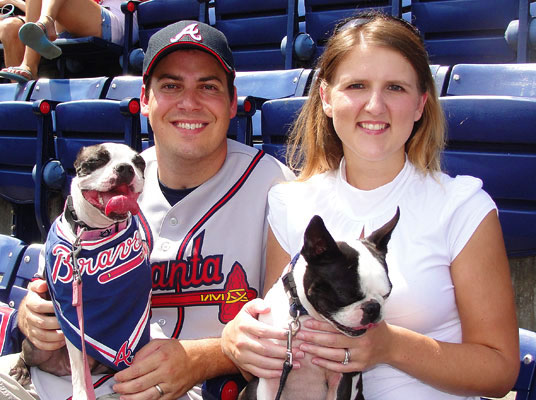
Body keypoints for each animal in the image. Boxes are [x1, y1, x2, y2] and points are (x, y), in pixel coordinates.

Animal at [11, 143, 153, 400]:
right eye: (97, 160)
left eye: (138, 163)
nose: (125, 168)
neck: (94, 231)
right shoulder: (73, 322)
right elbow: (79, 366)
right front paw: (81, 393)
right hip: (35, 348)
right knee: (27, 355)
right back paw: (21, 369)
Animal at [241, 209, 400, 400]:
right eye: (345, 295)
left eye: (387, 293)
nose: (373, 308)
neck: (304, 314)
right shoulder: (270, 376)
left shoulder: (341, 376)